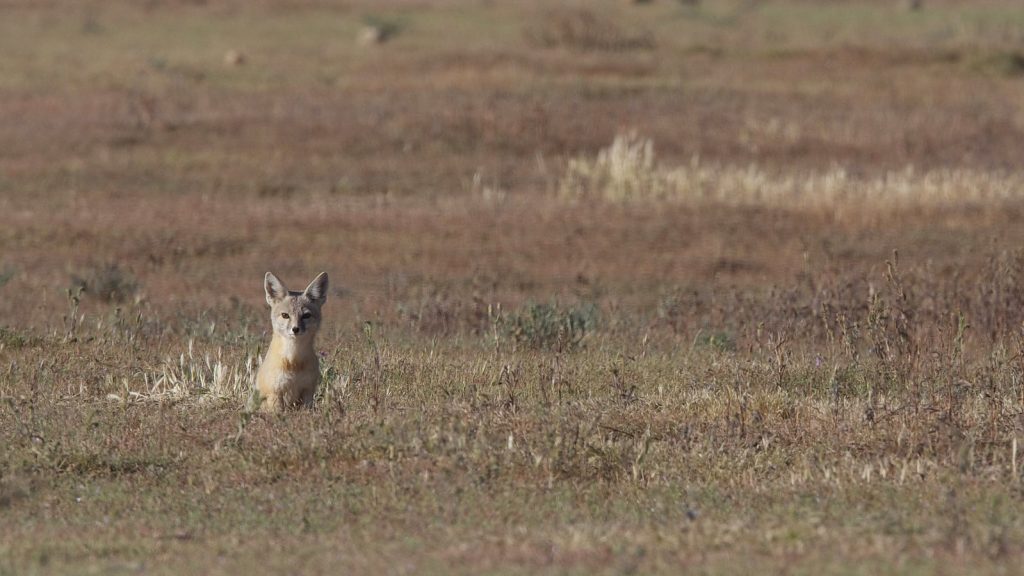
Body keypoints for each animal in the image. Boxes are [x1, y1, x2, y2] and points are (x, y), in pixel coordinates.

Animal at [255, 271, 329, 412]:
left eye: (306, 315)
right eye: (285, 315)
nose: (295, 329)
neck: (293, 362)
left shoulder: (307, 391)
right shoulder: (275, 393)